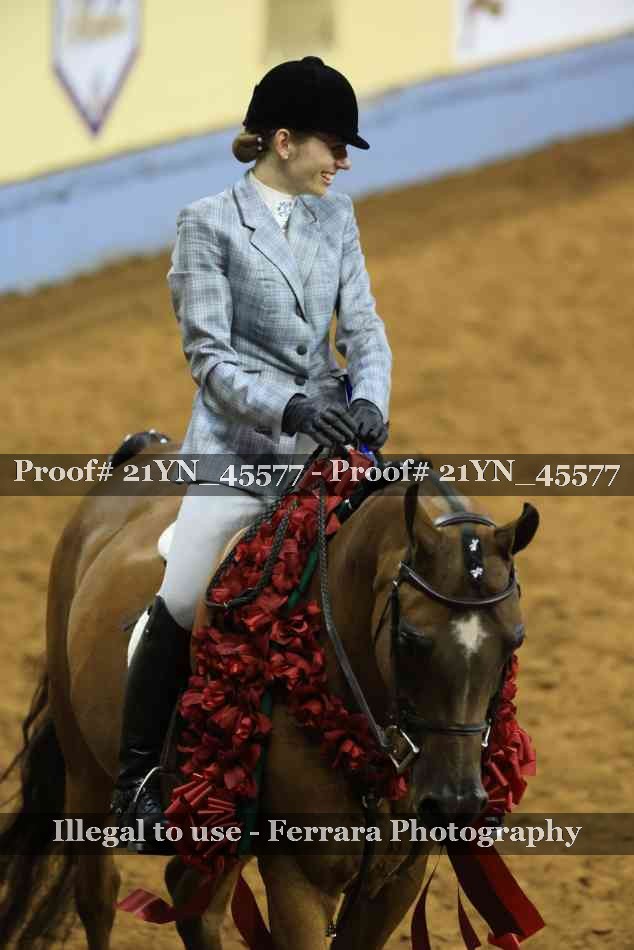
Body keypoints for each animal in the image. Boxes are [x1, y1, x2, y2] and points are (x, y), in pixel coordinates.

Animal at [0, 436, 539, 950]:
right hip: (85, 771)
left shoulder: (395, 880)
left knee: (193, 900)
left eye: (515, 639)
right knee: (98, 897)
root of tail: (143, 452)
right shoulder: (300, 878)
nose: (454, 805)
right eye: (410, 639)